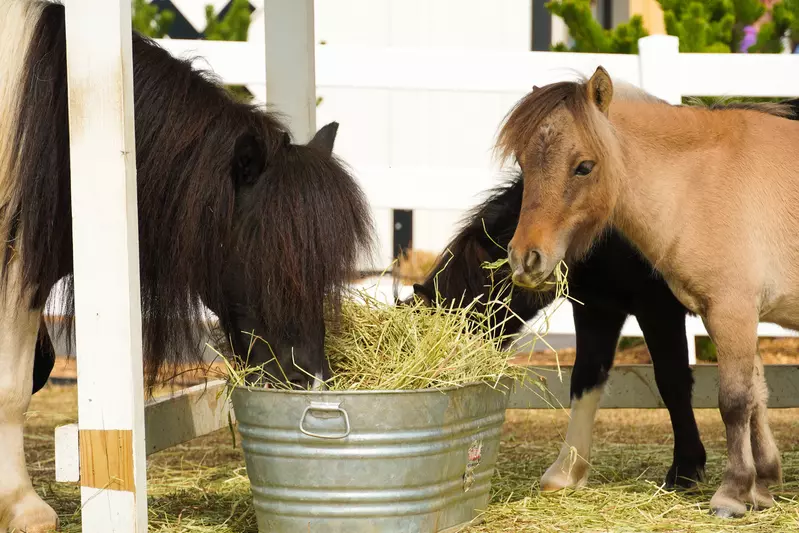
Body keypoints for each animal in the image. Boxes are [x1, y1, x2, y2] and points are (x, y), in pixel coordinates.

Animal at [406, 178, 708, 490]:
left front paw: (685, 469)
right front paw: (566, 471)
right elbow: (585, 379)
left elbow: (672, 383)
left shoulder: (657, 308)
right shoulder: (596, 309)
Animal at [500, 66, 799, 516]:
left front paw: (731, 493)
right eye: (523, 163)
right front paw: (761, 487)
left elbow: (733, 402)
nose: (525, 259)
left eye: (584, 166)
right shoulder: (741, 317)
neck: (702, 182)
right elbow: (757, 397)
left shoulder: (730, 312)